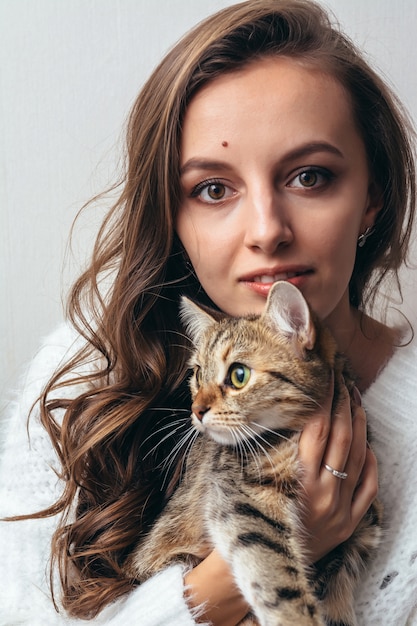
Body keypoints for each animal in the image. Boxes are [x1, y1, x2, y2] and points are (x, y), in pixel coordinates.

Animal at [125, 280, 382, 620]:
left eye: (239, 375)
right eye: (198, 374)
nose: (196, 410)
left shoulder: (357, 538)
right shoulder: (244, 499)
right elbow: (277, 580)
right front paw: (297, 618)